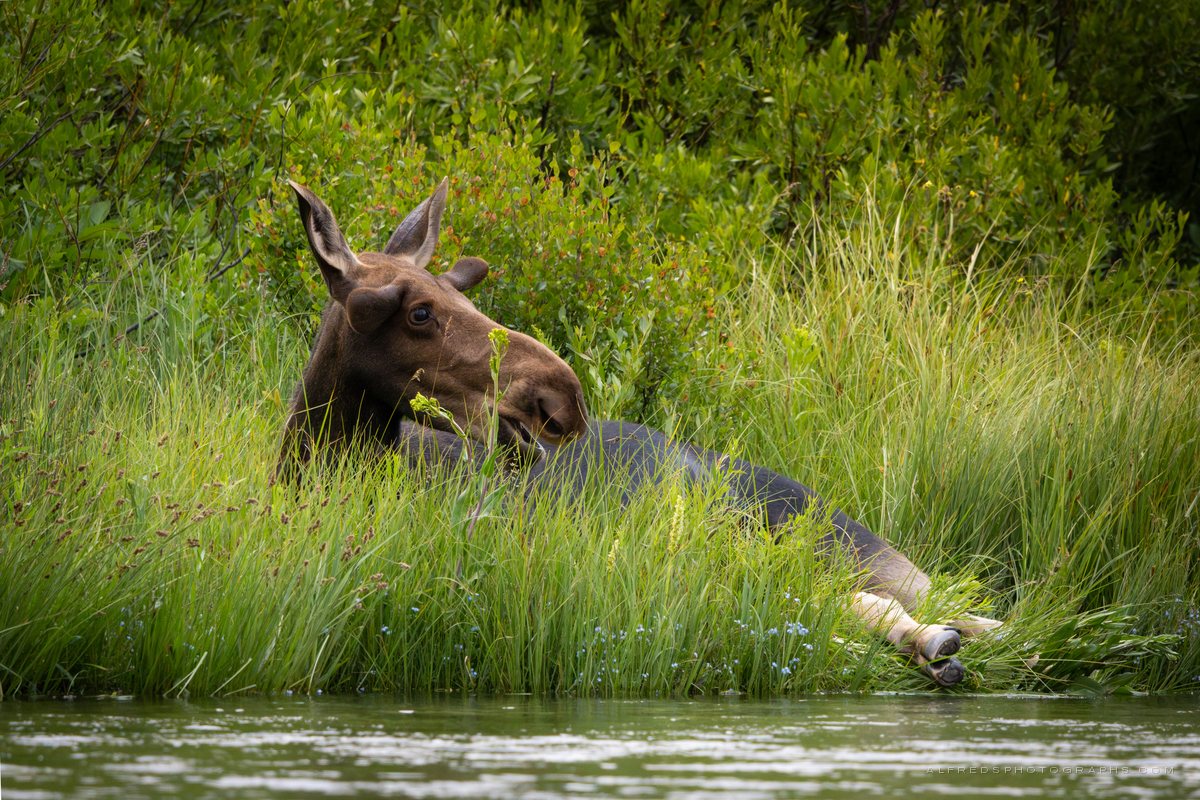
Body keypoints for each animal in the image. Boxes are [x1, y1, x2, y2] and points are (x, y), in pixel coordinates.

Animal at [277, 177, 1002, 688]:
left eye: (467, 296)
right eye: (420, 312)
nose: (560, 397)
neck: (315, 465)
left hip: (771, 536)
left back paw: (939, 639)